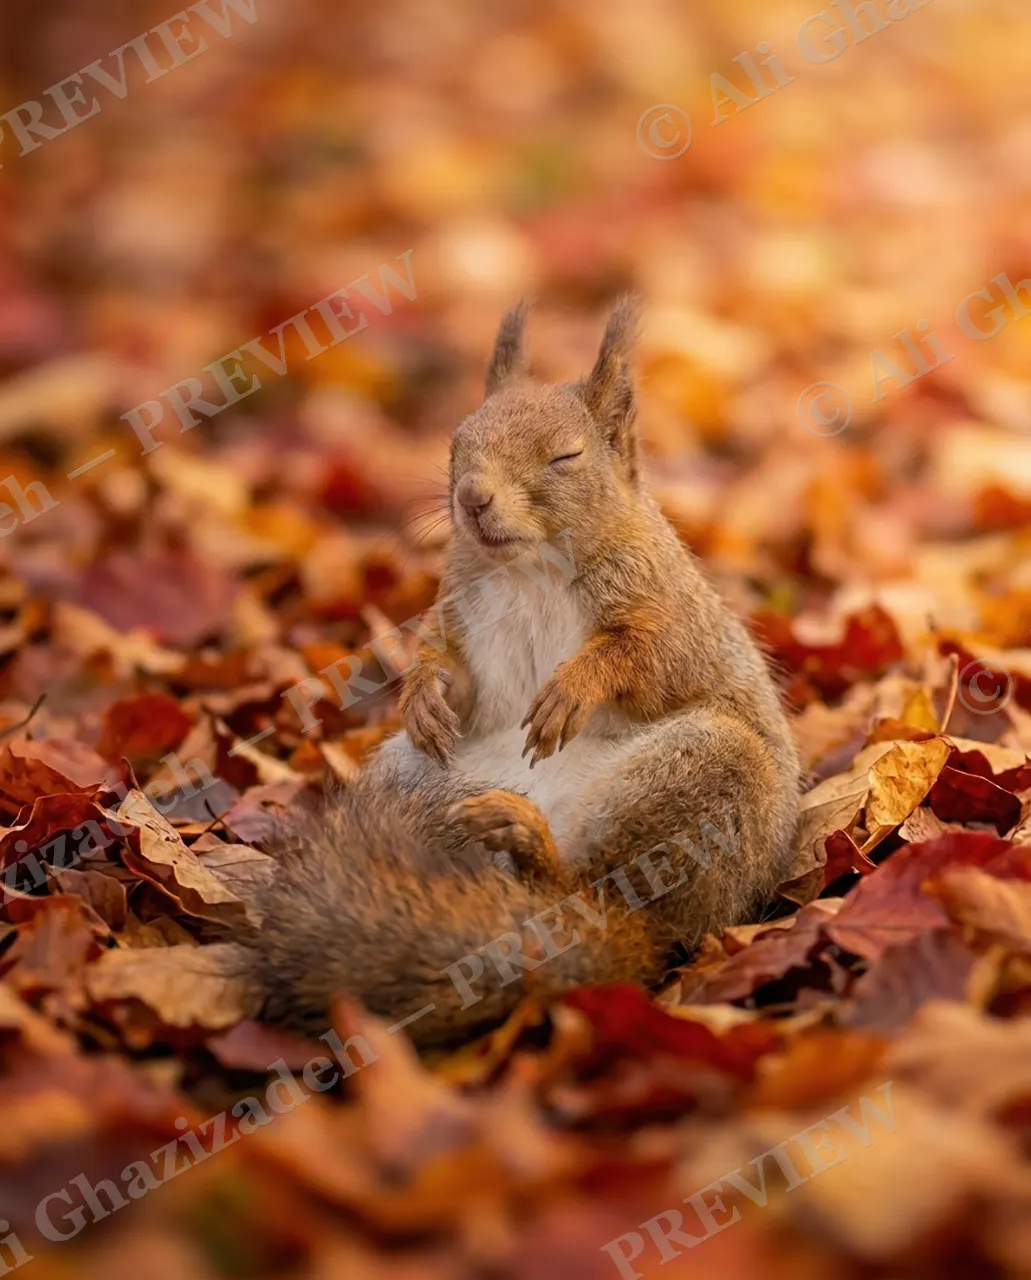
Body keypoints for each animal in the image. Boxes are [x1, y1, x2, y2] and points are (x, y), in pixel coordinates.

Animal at [247, 299, 800, 1048]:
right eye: (456, 443)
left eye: (566, 456)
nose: (472, 498)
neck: (528, 569)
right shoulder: (460, 620)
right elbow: (449, 672)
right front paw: (422, 697)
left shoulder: (668, 615)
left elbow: (643, 659)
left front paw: (573, 687)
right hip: (414, 782)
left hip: (709, 773)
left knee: (595, 885)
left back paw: (535, 842)